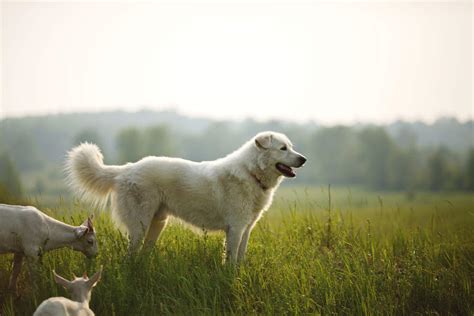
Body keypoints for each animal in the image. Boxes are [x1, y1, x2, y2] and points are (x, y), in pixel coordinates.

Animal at [65, 131, 306, 262]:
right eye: (283, 148)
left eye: (291, 147)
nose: (304, 159)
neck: (251, 172)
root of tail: (126, 169)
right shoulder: (235, 228)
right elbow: (230, 260)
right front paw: (230, 279)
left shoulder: (246, 229)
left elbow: (240, 258)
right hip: (139, 226)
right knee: (130, 256)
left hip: (156, 225)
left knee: (142, 254)